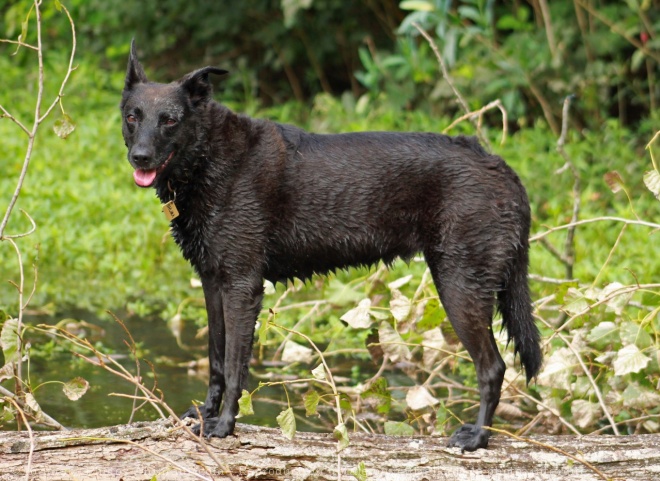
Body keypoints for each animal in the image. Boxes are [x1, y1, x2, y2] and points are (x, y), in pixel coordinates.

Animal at [122, 41, 540, 450]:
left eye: (170, 120)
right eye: (132, 117)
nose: (139, 157)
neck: (207, 158)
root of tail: (501, 167)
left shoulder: (242, 286)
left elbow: (236, 365)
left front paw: (224, 426)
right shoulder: (212, 282)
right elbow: (216, 361)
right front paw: (204, 415)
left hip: (458, 287)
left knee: (493, 367)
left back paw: (478, 437)